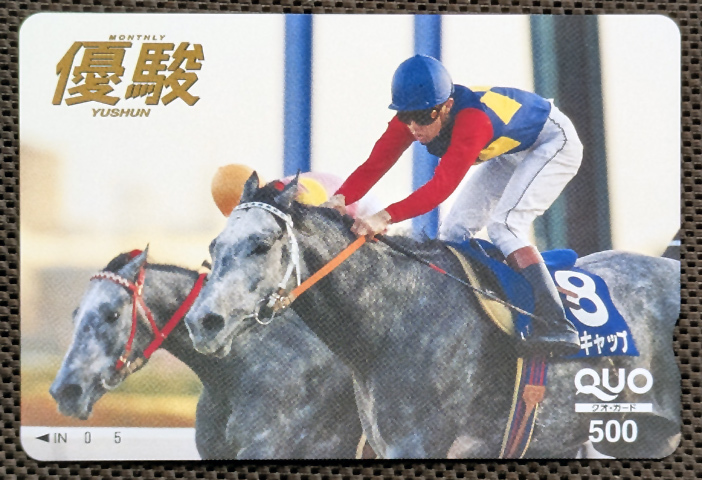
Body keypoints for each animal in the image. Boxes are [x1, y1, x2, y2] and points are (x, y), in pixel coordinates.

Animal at [184, 174, 681, 459]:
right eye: (213, 245)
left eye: (261, 244)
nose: (201, 322)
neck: (391, 322)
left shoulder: (421, 443)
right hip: (639, 437)